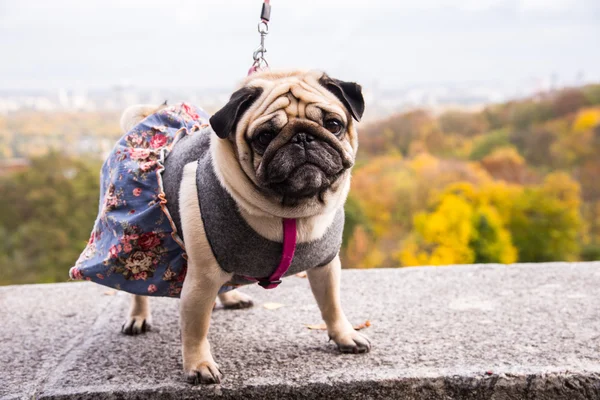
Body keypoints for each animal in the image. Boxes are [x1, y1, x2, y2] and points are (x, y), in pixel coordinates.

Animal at [85, 69, 370, 384]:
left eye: (333, 124)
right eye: (264, 136)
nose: (302, 137)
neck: (291, 214)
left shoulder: (325, 266)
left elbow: (331, 304)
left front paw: (345, 335)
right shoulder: (202, 278)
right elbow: (195, 328)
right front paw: (198, 365)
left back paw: (231, 297)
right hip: (138, 240)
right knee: (138, 284)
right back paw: (138, 316)